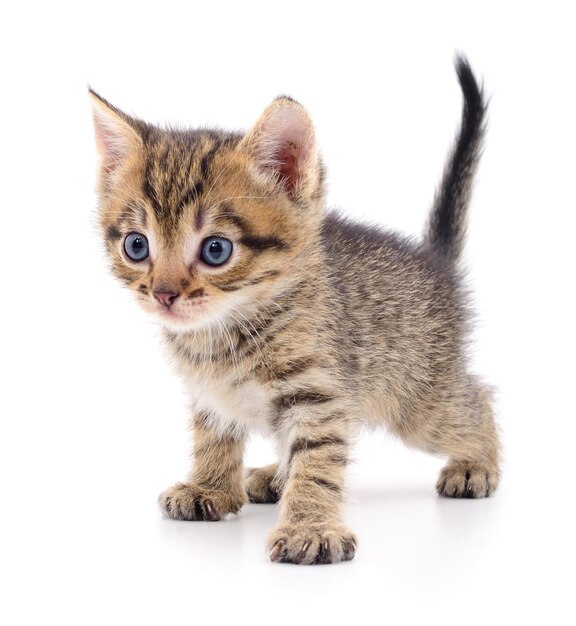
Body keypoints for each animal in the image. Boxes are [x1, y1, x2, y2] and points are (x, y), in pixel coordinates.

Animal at [90, 57, 500, 564]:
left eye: (216, 250)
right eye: (136, 245)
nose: (164, 293)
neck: (225, 331)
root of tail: (435, 262)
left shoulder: (319, 394)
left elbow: (319, 461)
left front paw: (311, 527)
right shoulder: (209, 394)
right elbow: (213, 436)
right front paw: (210, 488)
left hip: (420, 399)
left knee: (475, 398)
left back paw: (476, 463)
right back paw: (274, 476)